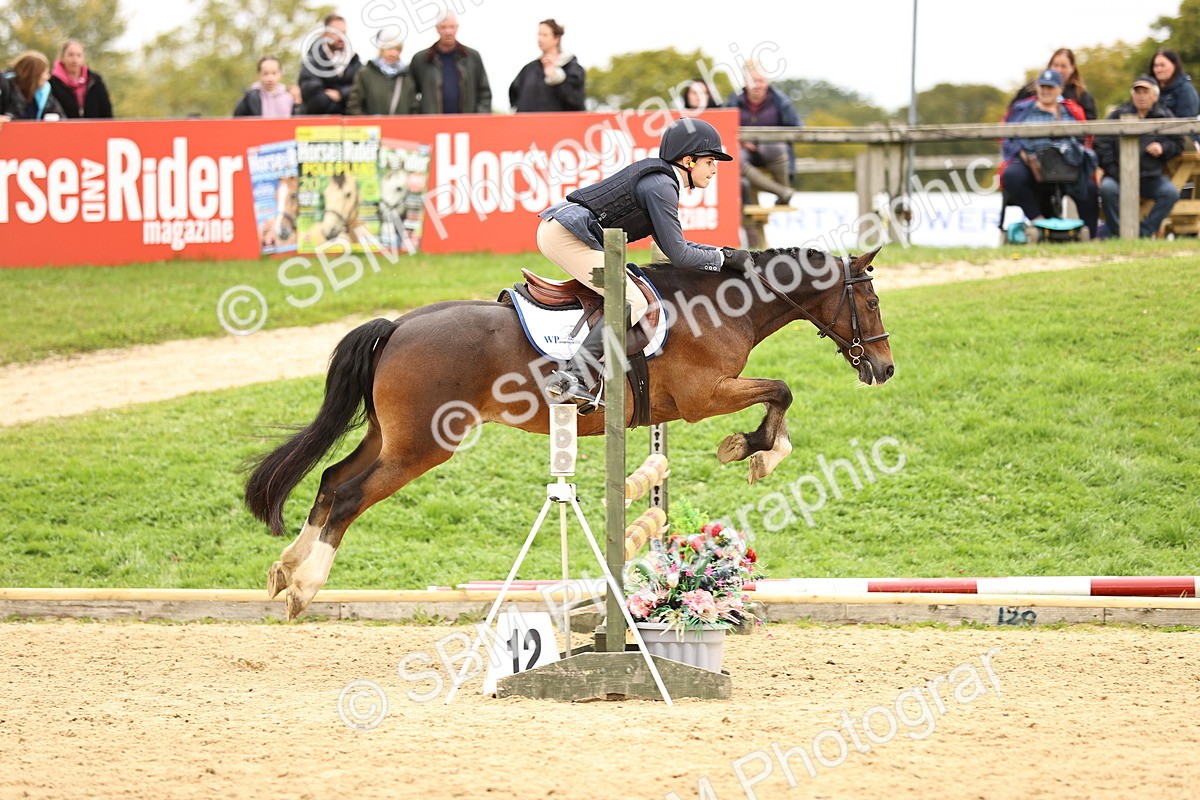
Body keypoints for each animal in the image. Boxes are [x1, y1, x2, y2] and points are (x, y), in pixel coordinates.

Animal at [244, 247, 894, 619]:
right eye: (870, 301)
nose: (884, 369)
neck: (719, 303)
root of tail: (398, 326)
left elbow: (779, 391)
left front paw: (754, 448)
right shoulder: (702, 397)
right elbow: (781, 389)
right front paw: (755, 450)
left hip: (392, 438)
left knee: (332, 480)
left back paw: (285, 571)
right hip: (423, 446)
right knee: (350, 495)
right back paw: (305, 588)